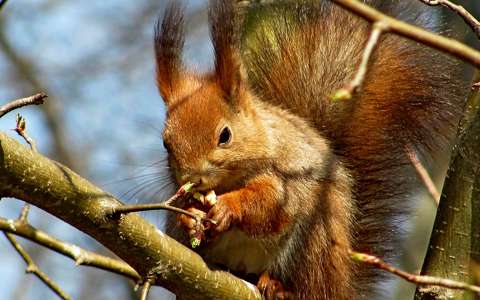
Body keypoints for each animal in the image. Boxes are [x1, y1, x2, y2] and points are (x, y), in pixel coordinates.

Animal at [156, 1, 470, 298]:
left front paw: (227, 208)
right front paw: (189, 218)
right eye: (166, 143)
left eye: (225, 135)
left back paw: (279, 287)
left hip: (314, 244)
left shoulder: (287, 175)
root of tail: (343, 286)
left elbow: (270, 203)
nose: (191, 178)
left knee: (310, 285)